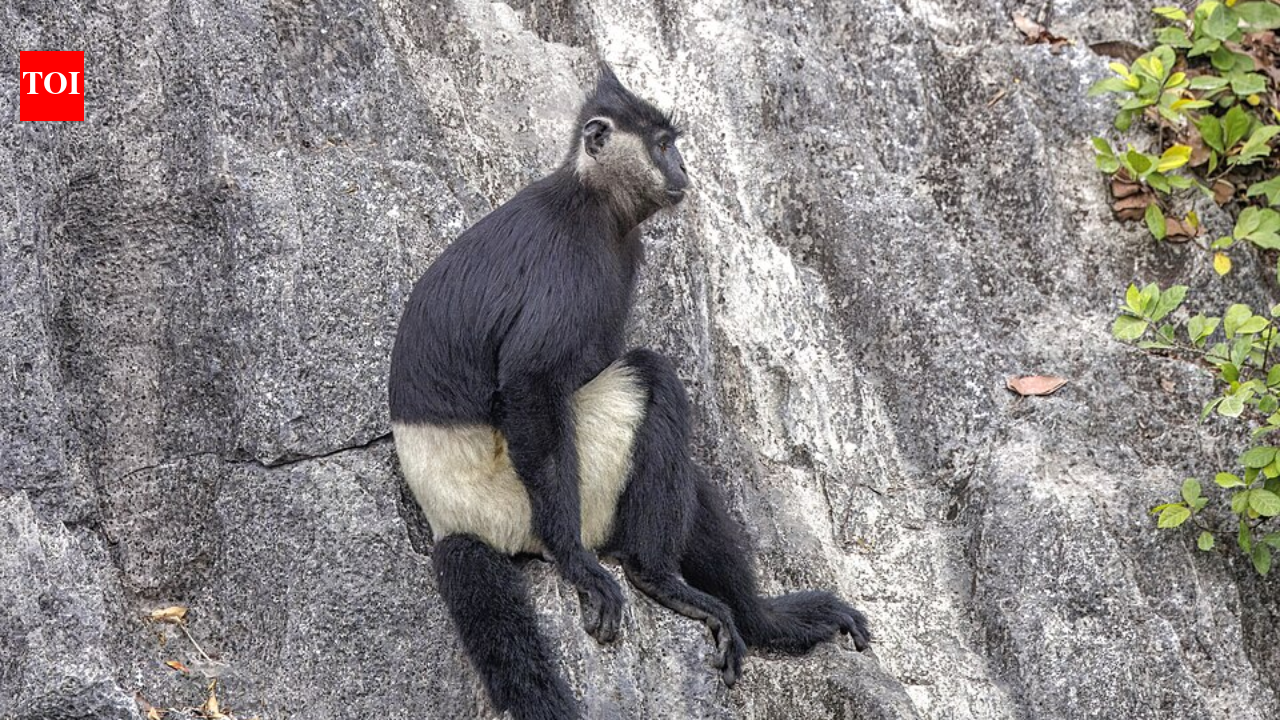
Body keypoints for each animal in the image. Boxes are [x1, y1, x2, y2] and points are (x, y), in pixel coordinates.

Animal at [389, 64, 870, 720]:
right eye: (663, 144)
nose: (683, 168)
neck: (590, 199)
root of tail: (449, 518)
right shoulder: (569, 261)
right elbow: (531, 383)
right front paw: (579, 565)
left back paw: (764, 621)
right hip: (526, 499)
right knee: (652, 380)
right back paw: (654, 577)